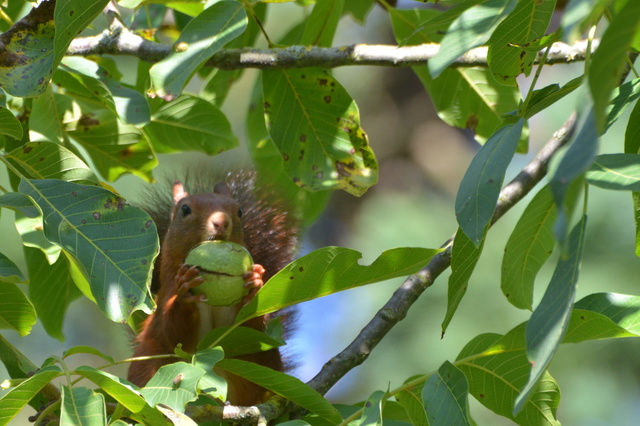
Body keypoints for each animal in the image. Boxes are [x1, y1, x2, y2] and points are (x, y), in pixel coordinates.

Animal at [129, 171, 300, 406]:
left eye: (239, 211)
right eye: (185, 209)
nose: (221, 221)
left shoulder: (241, 334)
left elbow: (246, 329)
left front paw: (255, 284)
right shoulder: (165, 298)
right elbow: (173, 333)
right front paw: (185, 292)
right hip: (147, 360)